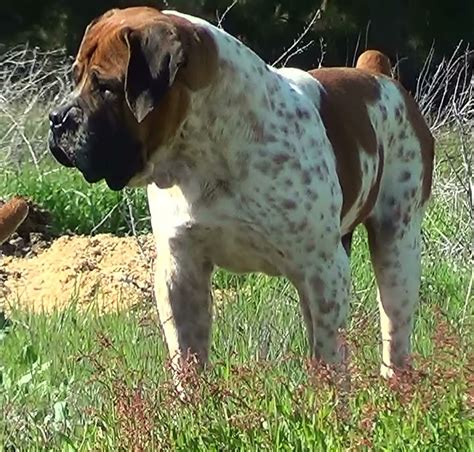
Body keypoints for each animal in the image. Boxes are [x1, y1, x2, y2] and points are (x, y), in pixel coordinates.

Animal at [48, 7, 434, 382]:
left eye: (106, 87)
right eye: (75, 77)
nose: (57, 118)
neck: (205, 155)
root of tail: (378, 75)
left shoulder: (323, 269)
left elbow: (329, 360)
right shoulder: (180, 272)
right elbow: (187, 358)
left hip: (395, 252)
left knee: (393, 335)